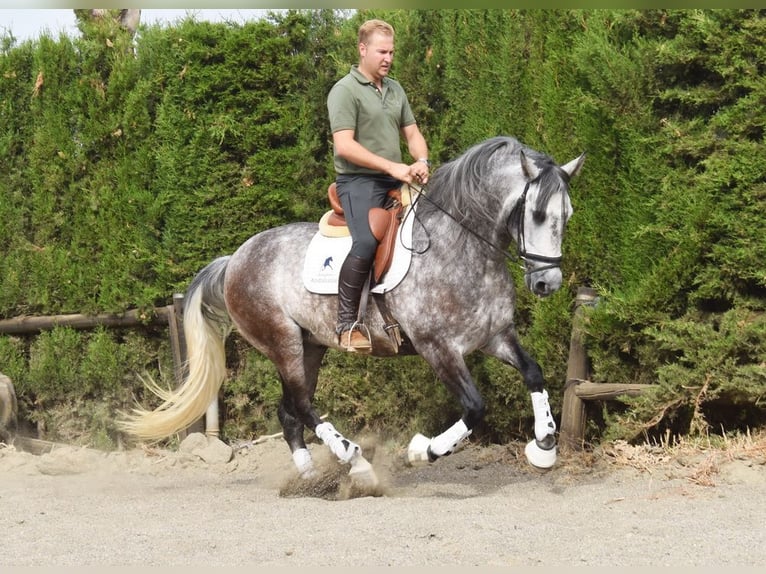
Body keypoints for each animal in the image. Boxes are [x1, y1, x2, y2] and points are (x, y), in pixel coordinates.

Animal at [119, 135, 585, 487]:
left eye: (568, 214)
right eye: (537, 214)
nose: (547, 283)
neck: (462, 246)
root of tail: (235, 257)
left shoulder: (494, 336)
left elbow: (534, 373)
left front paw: (544, 446)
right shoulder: (438, 348)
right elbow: (474, 407)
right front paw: (422, 451)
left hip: (310, 346)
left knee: (290, 411)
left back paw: (311, 477)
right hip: (282, 343)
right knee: (303, 406)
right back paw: (354, 459)